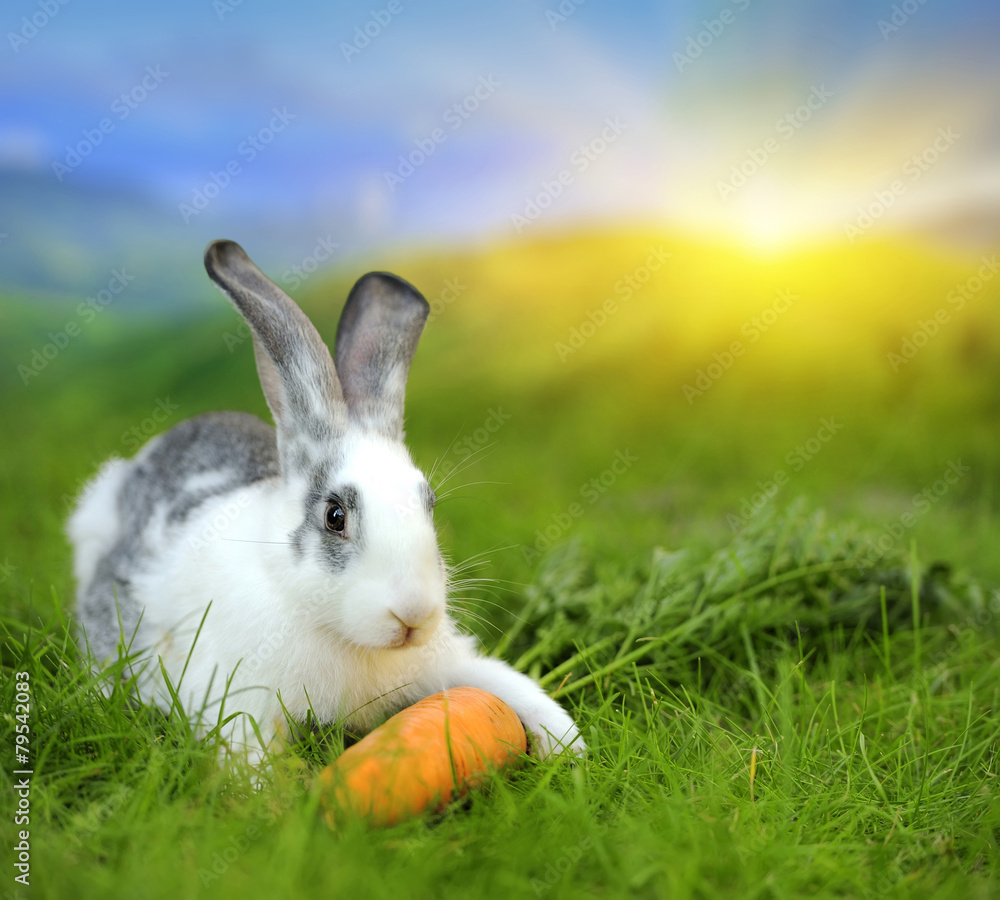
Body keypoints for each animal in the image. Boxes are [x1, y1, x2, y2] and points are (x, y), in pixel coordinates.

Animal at [68, 239, 584, 765]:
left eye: (430, 505)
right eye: (335, 517)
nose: (413, 616)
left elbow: (506, 682)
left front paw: (569, 746)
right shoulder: (239, 699)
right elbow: (250, 756)